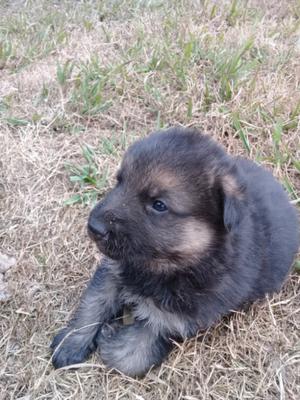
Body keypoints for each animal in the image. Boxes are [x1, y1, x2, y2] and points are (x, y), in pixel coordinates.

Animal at [50, 127, 298, 376]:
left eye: (159, 205)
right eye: (120, 181)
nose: (94, 227)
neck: (168, 265)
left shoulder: (176, 320)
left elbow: (130, 357)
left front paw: (110, 334)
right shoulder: (112, 271)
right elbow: (91, 306)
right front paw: (71, 344)